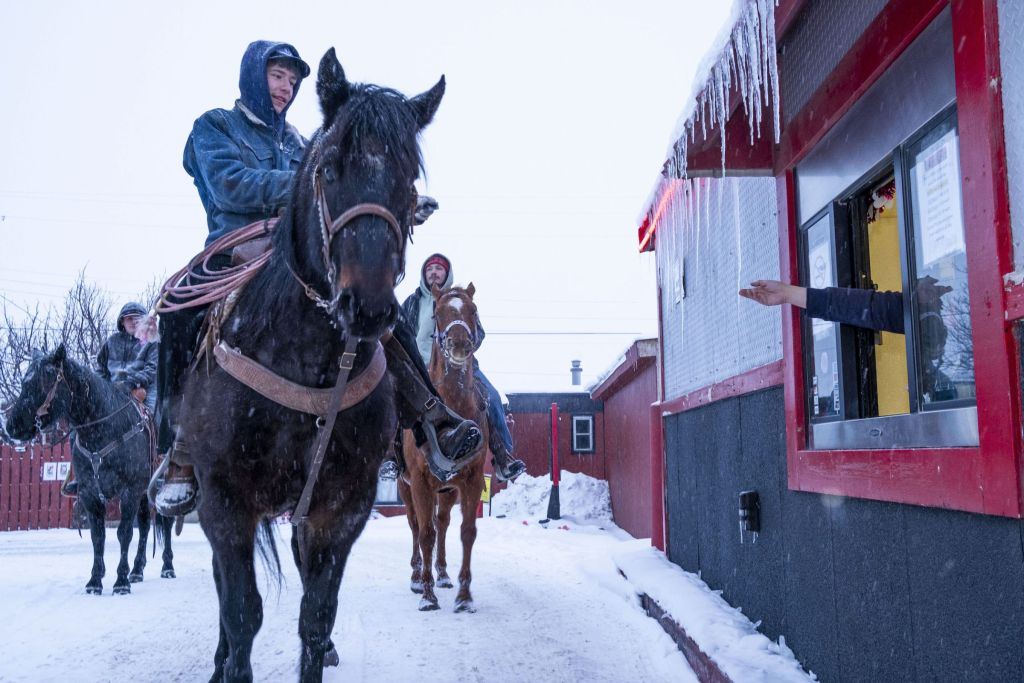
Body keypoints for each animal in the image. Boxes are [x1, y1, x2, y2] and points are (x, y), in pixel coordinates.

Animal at [2, 344, 174, 593]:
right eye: (25, 382)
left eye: (44, 381)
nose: (12, 426)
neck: (106, 430)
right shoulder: (89, 493)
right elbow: (98, 536)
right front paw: (95, 581)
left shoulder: (129, 491)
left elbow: (124, 533)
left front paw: (120, 582)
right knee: (144, 526)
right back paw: (137, 570)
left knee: (165, 524)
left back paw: (167, 567)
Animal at [179, 49, 440, 683]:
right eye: (330, 167)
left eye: (408, 180)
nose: (367, 306)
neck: (306, 362)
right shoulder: (225, 503)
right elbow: (241, 616)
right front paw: (229, 664)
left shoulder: (340, 509)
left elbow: (315, 619)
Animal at [399, 282, 487, 614]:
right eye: (437, 313)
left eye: (473, 311)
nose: (460, 343)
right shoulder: (420, 482)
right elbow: (425, 534)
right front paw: (427, 595)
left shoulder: (472, 480)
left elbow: (467, 533)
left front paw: (464, 596)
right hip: (405, 487)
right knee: (416, 526)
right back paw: (416, 577)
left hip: (447, 491)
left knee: (443, 524)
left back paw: (443, 574)